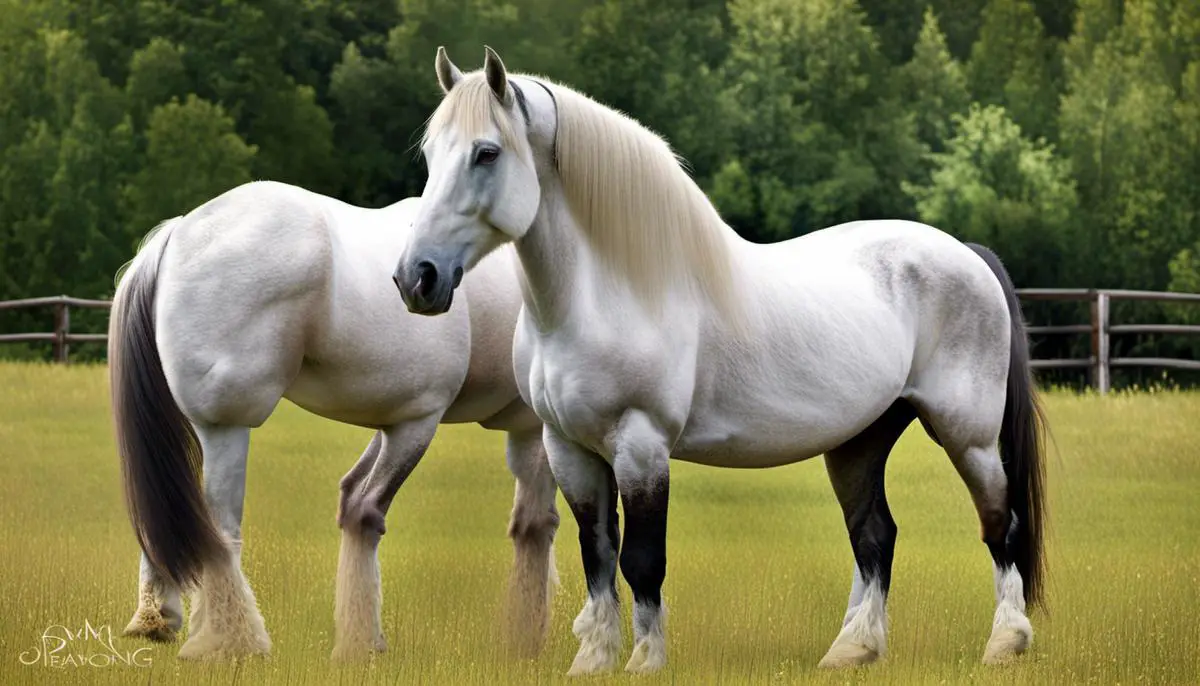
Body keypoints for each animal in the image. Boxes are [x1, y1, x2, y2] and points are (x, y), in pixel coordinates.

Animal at [110, 179, 559, 662]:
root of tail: (176, 235)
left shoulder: (411, 420)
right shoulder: (486, 423)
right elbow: (536, 525)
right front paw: (528, 638)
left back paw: (155, 619)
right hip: (228, 425)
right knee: (217, 526)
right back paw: (235, 641)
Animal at [388, 48, 1046, 676]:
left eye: (487, 153)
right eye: (431, 153)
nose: (416, 278)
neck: (607, 293)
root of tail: (968, 253)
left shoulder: (642, 444)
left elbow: (642, 560)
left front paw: (645, 660)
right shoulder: (567, 446)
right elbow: (596, 553)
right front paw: (593, 659)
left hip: (968, 437)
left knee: (999, 522)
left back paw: (1005, 642)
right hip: (859, 441)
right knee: (874, 535)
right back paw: (853, 649)